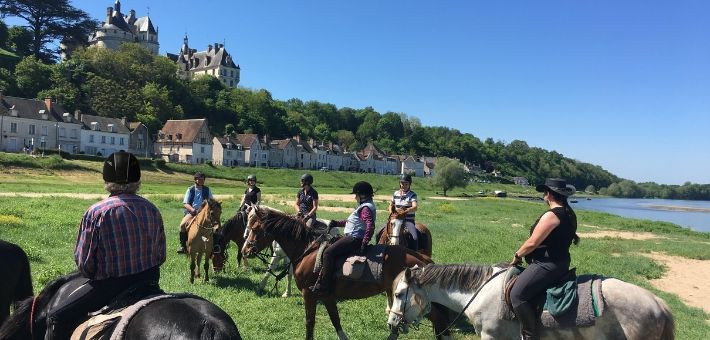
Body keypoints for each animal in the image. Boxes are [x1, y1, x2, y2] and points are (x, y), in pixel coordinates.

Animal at [242, 206, 454, 340]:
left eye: (255, 228)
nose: (246, 250)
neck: (308, 250)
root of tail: (422, 259)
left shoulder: (309, 295)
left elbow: (310, 323)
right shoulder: (327, 297)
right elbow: (336, 321)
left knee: (440, 322)